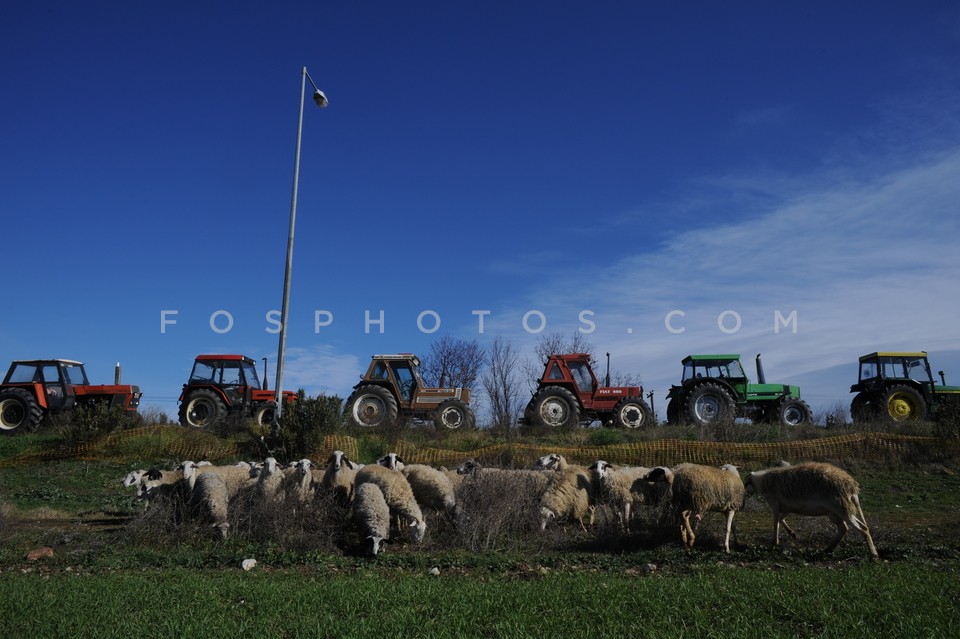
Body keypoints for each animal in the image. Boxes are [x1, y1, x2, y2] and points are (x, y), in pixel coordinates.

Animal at [748, 460, 880, 560]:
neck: (762, 481)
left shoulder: (775, 504)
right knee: (846, 528)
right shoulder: (788, 508)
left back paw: (873, 555)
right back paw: (828, 549)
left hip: (843, 509)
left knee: (863, 529)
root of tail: (852, 486)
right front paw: (792, 534)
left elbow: (776, 523)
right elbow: (781, 519)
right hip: (835, 513)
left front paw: (775, 542)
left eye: (747, 481)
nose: (746, 494)